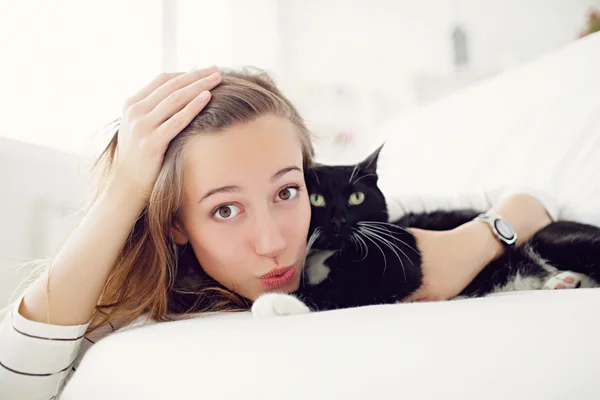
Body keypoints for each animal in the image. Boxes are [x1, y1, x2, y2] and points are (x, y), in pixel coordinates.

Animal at [252, 145, 600, 318]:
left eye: (356, 197)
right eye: (317, 199)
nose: (338, 220)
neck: (328, 253)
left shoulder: (398, 258)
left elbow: (343, 286)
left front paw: (277, 303)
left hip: (553, 239)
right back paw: (564, 281)